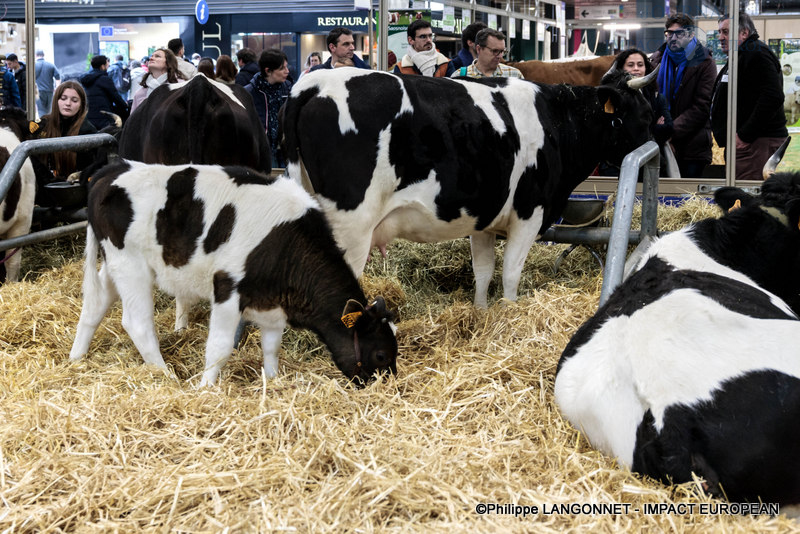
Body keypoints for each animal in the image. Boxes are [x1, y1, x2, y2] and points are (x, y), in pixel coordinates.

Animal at [71, 161, 400, 388]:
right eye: (381, 355)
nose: (389, 388)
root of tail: (113, 168)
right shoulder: (227, 287)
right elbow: (219, 347)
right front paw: (205, 388)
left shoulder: (271, 303)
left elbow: (271, 346)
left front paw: (273, 380)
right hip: (131, 265)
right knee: (137, 323)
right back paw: (165, 375)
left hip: (116, 265)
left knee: (94, 305)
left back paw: (76, 359)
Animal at [282, 67, 656, 308]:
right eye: (646, 113)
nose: (656, 146)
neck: (558, 119)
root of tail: (314, 82)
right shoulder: (529, 212)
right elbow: (510, 272)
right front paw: (509, 312)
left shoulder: (484, 218)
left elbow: (484, 270)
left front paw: (481, 312)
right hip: (352, 224)